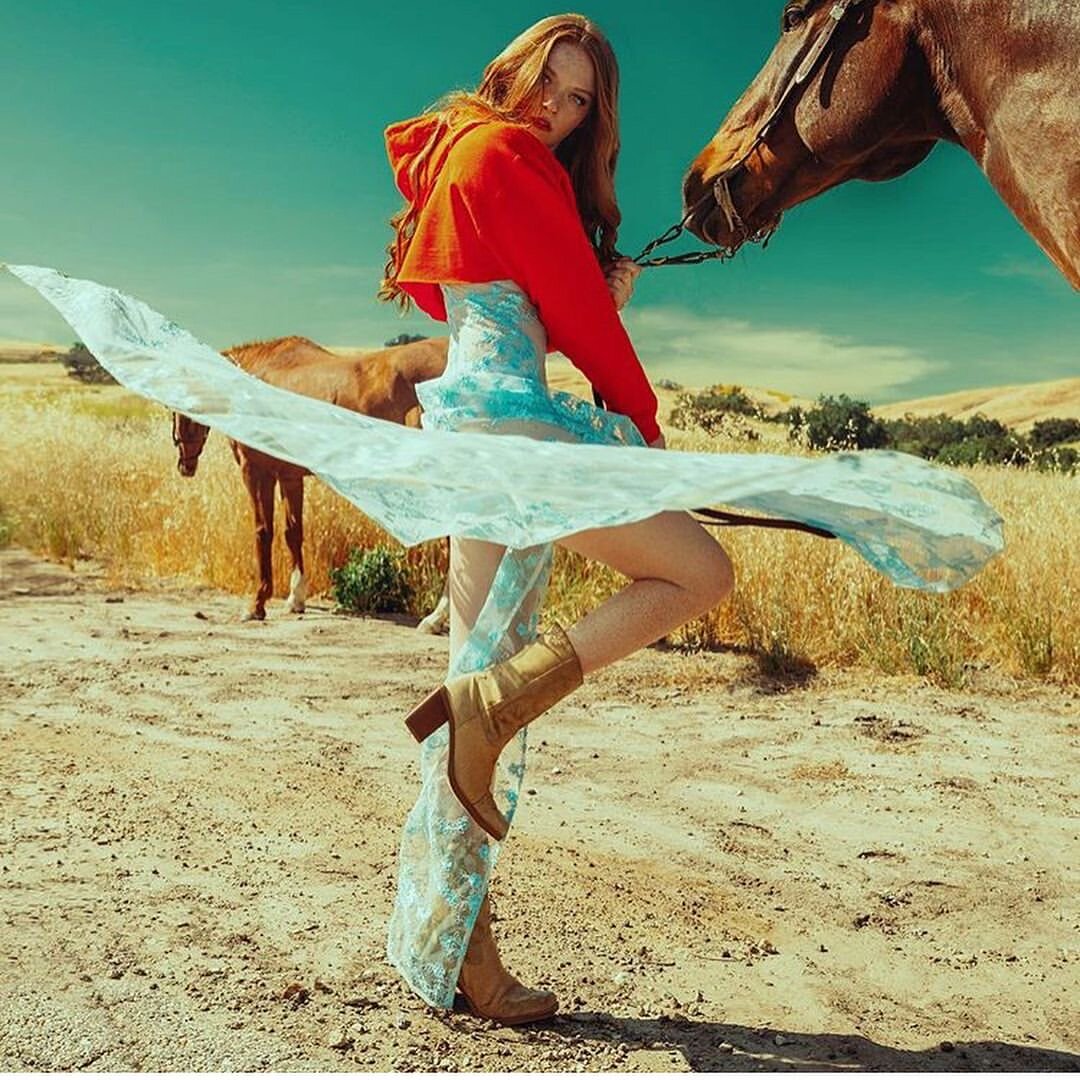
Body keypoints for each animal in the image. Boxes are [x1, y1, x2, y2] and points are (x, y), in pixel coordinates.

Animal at [171, 334, 452, 624]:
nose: (185, 465)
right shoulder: (289, 476)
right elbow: (292, 532)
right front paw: (296, 599)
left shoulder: (256, 472)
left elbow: (263, 532)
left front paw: (257, 604)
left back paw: (436, 618)